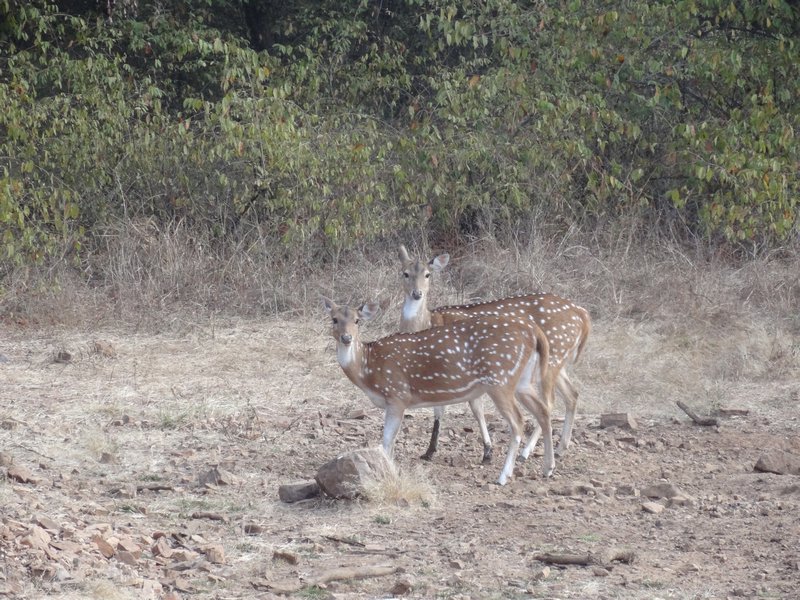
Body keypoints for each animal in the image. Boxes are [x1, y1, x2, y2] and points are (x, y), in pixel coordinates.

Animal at [318, 298, 556, 486]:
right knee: (544, 410)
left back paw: (503, 476)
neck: (368, 370)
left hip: (500, 379)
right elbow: (387, 442)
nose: (347, 338)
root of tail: (534, 331)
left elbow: (386, 441)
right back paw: (548, 468)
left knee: (518, 420)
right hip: (523, 380)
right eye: (334, 319)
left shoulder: (397, 395)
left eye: (357, 320)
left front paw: (388, 473)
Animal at [396, 246, 592, 462]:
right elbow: (445, 408)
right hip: (557, 360)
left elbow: (472, 408)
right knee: (572, 394)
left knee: (549, 402)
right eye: (405, 273)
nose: (417, 293)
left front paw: (486, 452)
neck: (428, 323)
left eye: (427, 274)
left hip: (554, 356)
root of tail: (582, 314)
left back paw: (526, 452)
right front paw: (430, 450)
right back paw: (560, 448)